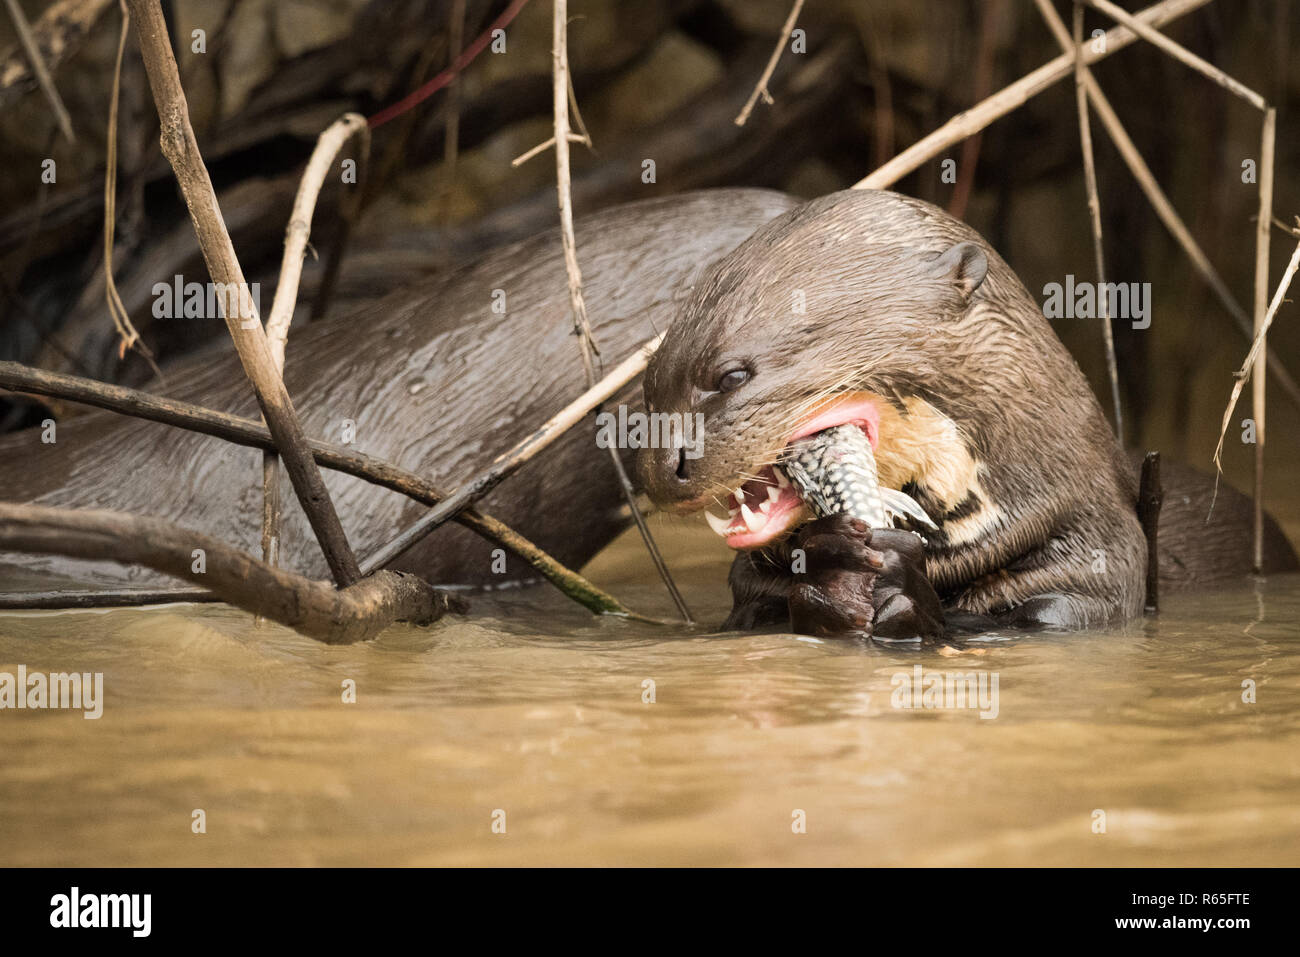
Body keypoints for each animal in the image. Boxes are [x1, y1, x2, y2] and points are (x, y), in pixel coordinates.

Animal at [638, 189, 1298, 639]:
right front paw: (834, 568)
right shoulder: (748, 600)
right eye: (647, 388)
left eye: (731, 375)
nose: (661, 470)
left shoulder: (1093, 573)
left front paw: (894, 580)